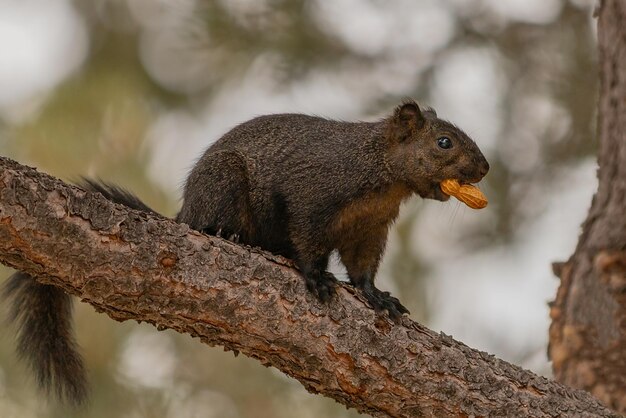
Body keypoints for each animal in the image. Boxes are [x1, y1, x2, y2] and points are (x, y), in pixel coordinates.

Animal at [1, 98, 488, 404]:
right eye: (444, 142)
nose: (484, 168)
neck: (380, 175)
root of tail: (184, 213)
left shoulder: (370, 228)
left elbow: (363, 268)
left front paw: (378, 297)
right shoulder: (313, 196)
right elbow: (309, 241)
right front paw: (317, 278)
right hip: (225, 183)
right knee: (215, 223)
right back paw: (225, 234)